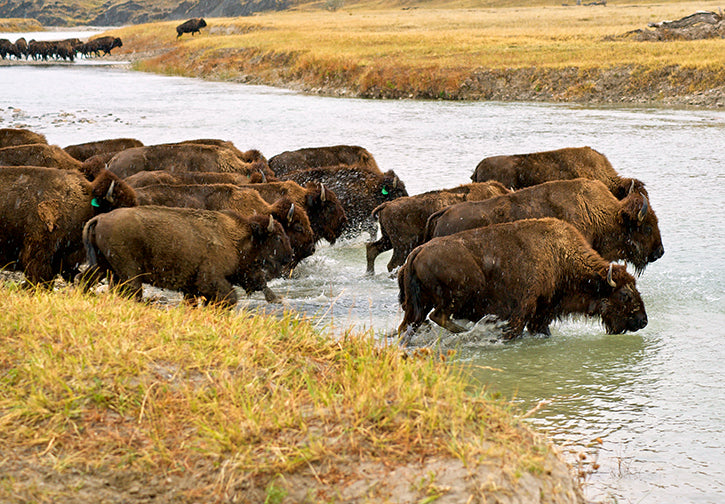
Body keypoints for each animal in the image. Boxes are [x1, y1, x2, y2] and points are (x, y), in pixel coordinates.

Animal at [80, 205, 292, 308]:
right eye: (277, 237)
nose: (290, 256)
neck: (237, 237)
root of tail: (100, 218)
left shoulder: (192, 287)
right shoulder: (210, 279)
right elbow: (229, 297)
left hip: (101, 266)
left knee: (84, 279)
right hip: (128, 271)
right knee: (132, 291)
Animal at [398, 217, 648, 342]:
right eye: (625, 295)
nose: (642, 321)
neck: (560, 256)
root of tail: (417, 252)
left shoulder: (543, 312)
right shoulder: (525, 307)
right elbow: (515, 328)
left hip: (416, 306)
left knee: (408, 326)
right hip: (456, 296)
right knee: (438, 316)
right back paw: (474, 331)